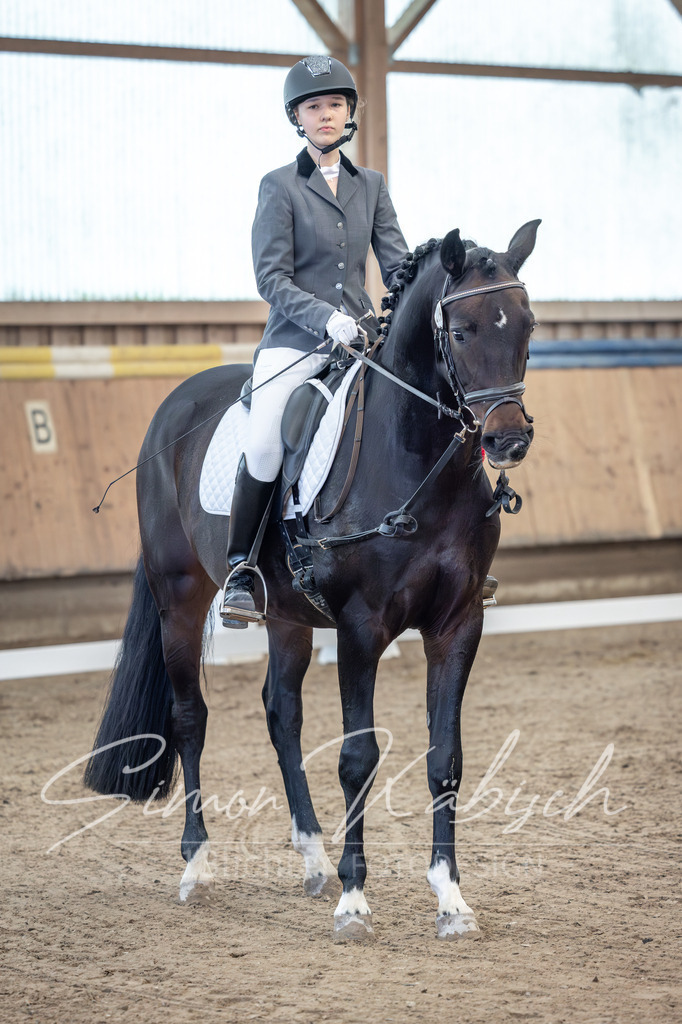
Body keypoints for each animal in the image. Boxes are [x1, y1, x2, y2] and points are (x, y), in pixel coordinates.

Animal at [84, 219, 540, 941]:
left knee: (281, 712)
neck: (414, 461)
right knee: (190, 718)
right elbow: (358, 758)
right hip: (179, 599)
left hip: (289, 615)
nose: (507, 441)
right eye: (463, 331)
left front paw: (450, 897)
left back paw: (313, 857)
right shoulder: (360, 627)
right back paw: (199, 866)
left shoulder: (459, 623)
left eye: (526, 325)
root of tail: (174, 407)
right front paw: (355, 902)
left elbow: (445, 759)